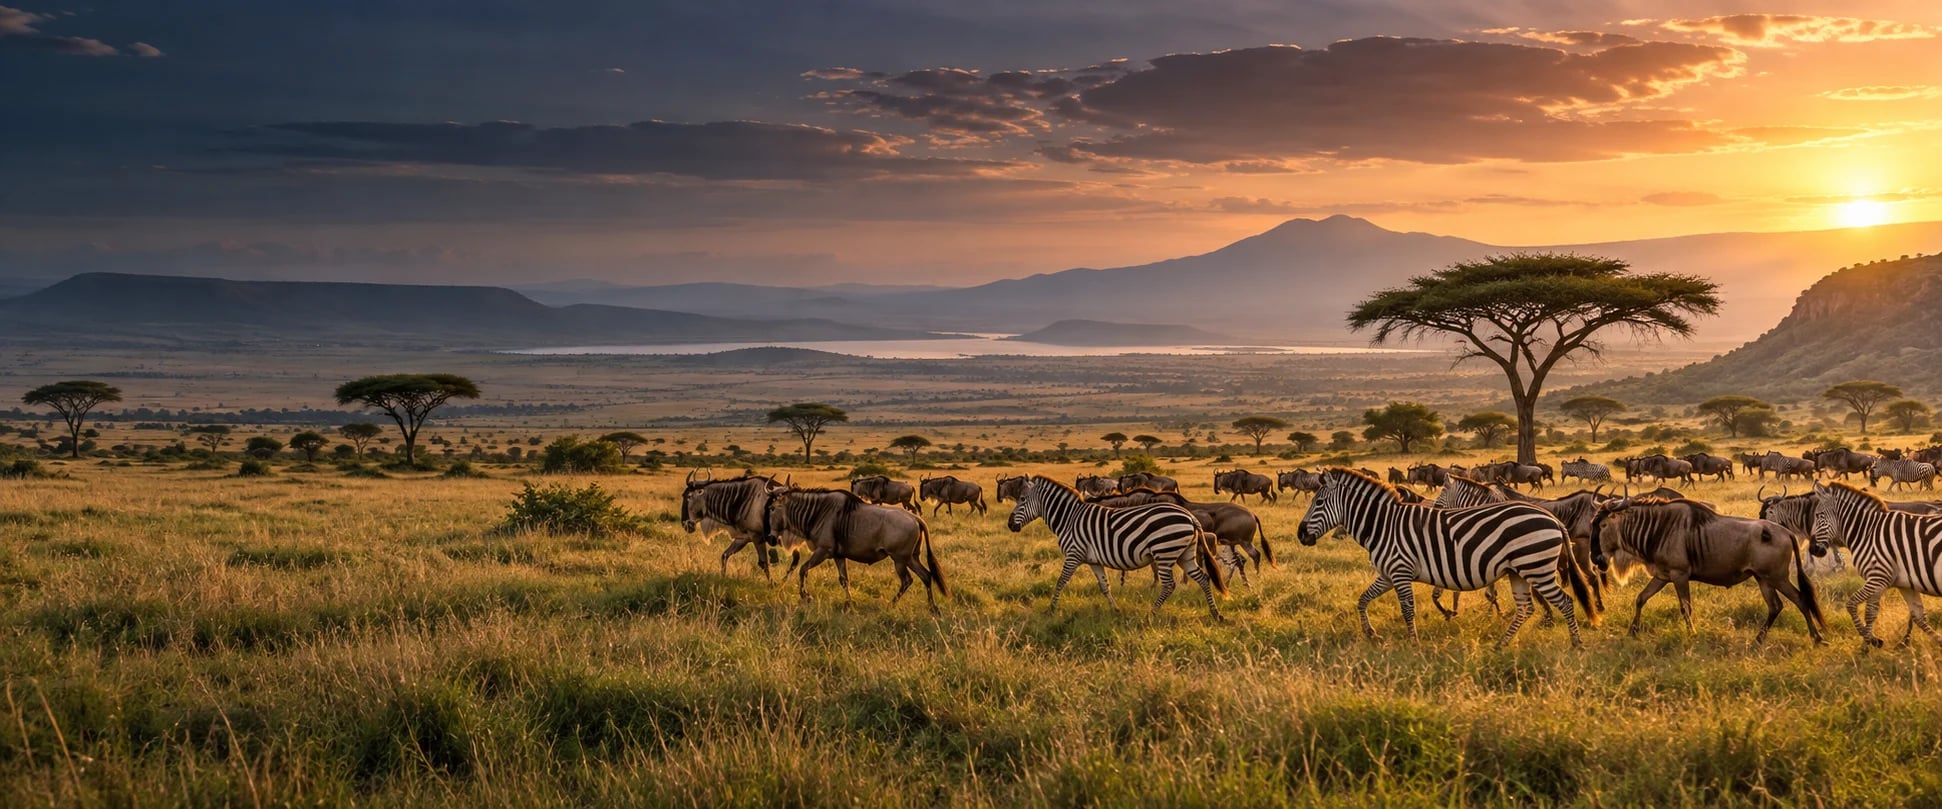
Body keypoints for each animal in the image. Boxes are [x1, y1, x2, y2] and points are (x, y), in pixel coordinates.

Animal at [1006, 475, 1227, 619]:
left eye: (1022, 499)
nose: (1009, 525)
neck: (1069, 518)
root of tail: (1189, 516)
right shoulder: (1093, 560)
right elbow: (1105, 586)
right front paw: (1115, 610)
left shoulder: (1074, 554)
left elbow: (1061, 581)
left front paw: (1050, 610)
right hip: (1184, 554)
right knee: (1203, 578)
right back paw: (1216, 614)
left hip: (1164, 552)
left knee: (1169, 585)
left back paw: (1152, 613)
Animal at [1297, 468, 1595, 648]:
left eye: (1318, 503)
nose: (1300, 535)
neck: (1383, 525)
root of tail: (1553, 518)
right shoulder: (1387, 574)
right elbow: (1362, 599)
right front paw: (1370, 632)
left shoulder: (1400, 571)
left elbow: (1408, 609)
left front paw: (1414, 643)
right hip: (1519, 571)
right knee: (1526, 608)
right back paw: (1500, 645)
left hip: (1536, 568)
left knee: (1565, 602)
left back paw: (1577, 643)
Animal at [1811, 482, 1942, 648]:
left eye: (1819, 516)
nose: (1813, 549)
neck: (1867, 532)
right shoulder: (1896, 583)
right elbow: (1915, 616)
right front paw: (1873, 642)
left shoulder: (1877, 577)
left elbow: (1853, 605)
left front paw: (1867, 643)